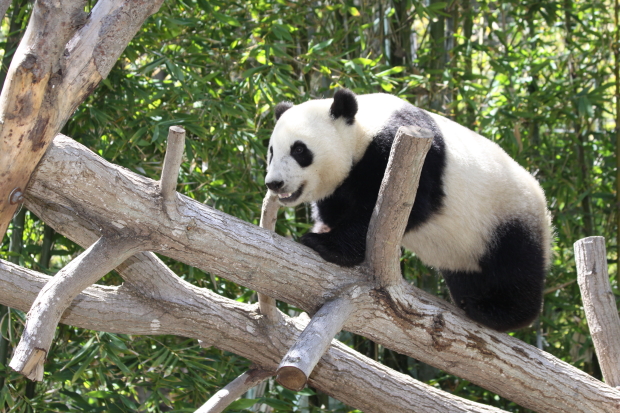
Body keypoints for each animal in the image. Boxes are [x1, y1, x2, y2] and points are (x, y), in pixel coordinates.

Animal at [266, 88, 552, 330]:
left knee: (515, 267)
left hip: (507, 215)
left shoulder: (407, 156)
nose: (274, 183)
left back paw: (494, 311)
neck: (364, 131)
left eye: (299, 150)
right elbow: (335, 209)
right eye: (271, 151)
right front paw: (324, 231)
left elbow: (399, 209)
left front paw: (324, 244)